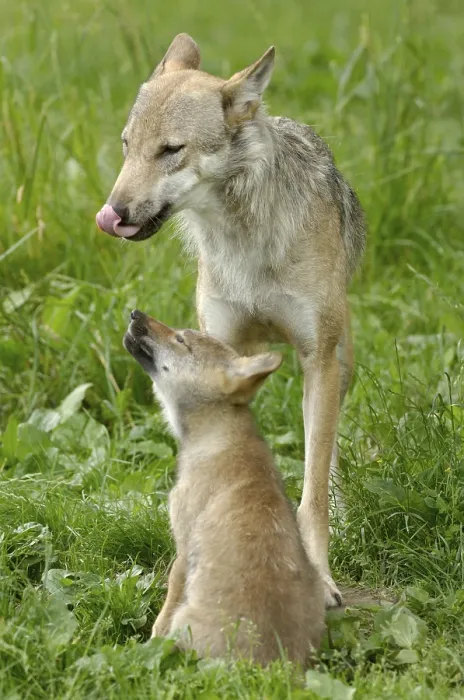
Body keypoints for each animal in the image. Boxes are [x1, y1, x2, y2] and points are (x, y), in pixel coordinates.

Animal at [96, 34, 366, 607]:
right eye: (128, 146)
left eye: (170, 150)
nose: (112, 214)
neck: (244, 240)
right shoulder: (220, 346)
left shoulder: (317, 360)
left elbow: (311, 493)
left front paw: (320, 577)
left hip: (340, 365)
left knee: (326, 457)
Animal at [124, 310, 325, 663]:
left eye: (181, 339)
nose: (135, 313)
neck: (218, 436)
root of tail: (280, 666)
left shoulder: (183, 549)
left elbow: (164, 609)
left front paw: (149, 645)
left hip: (187, 623)